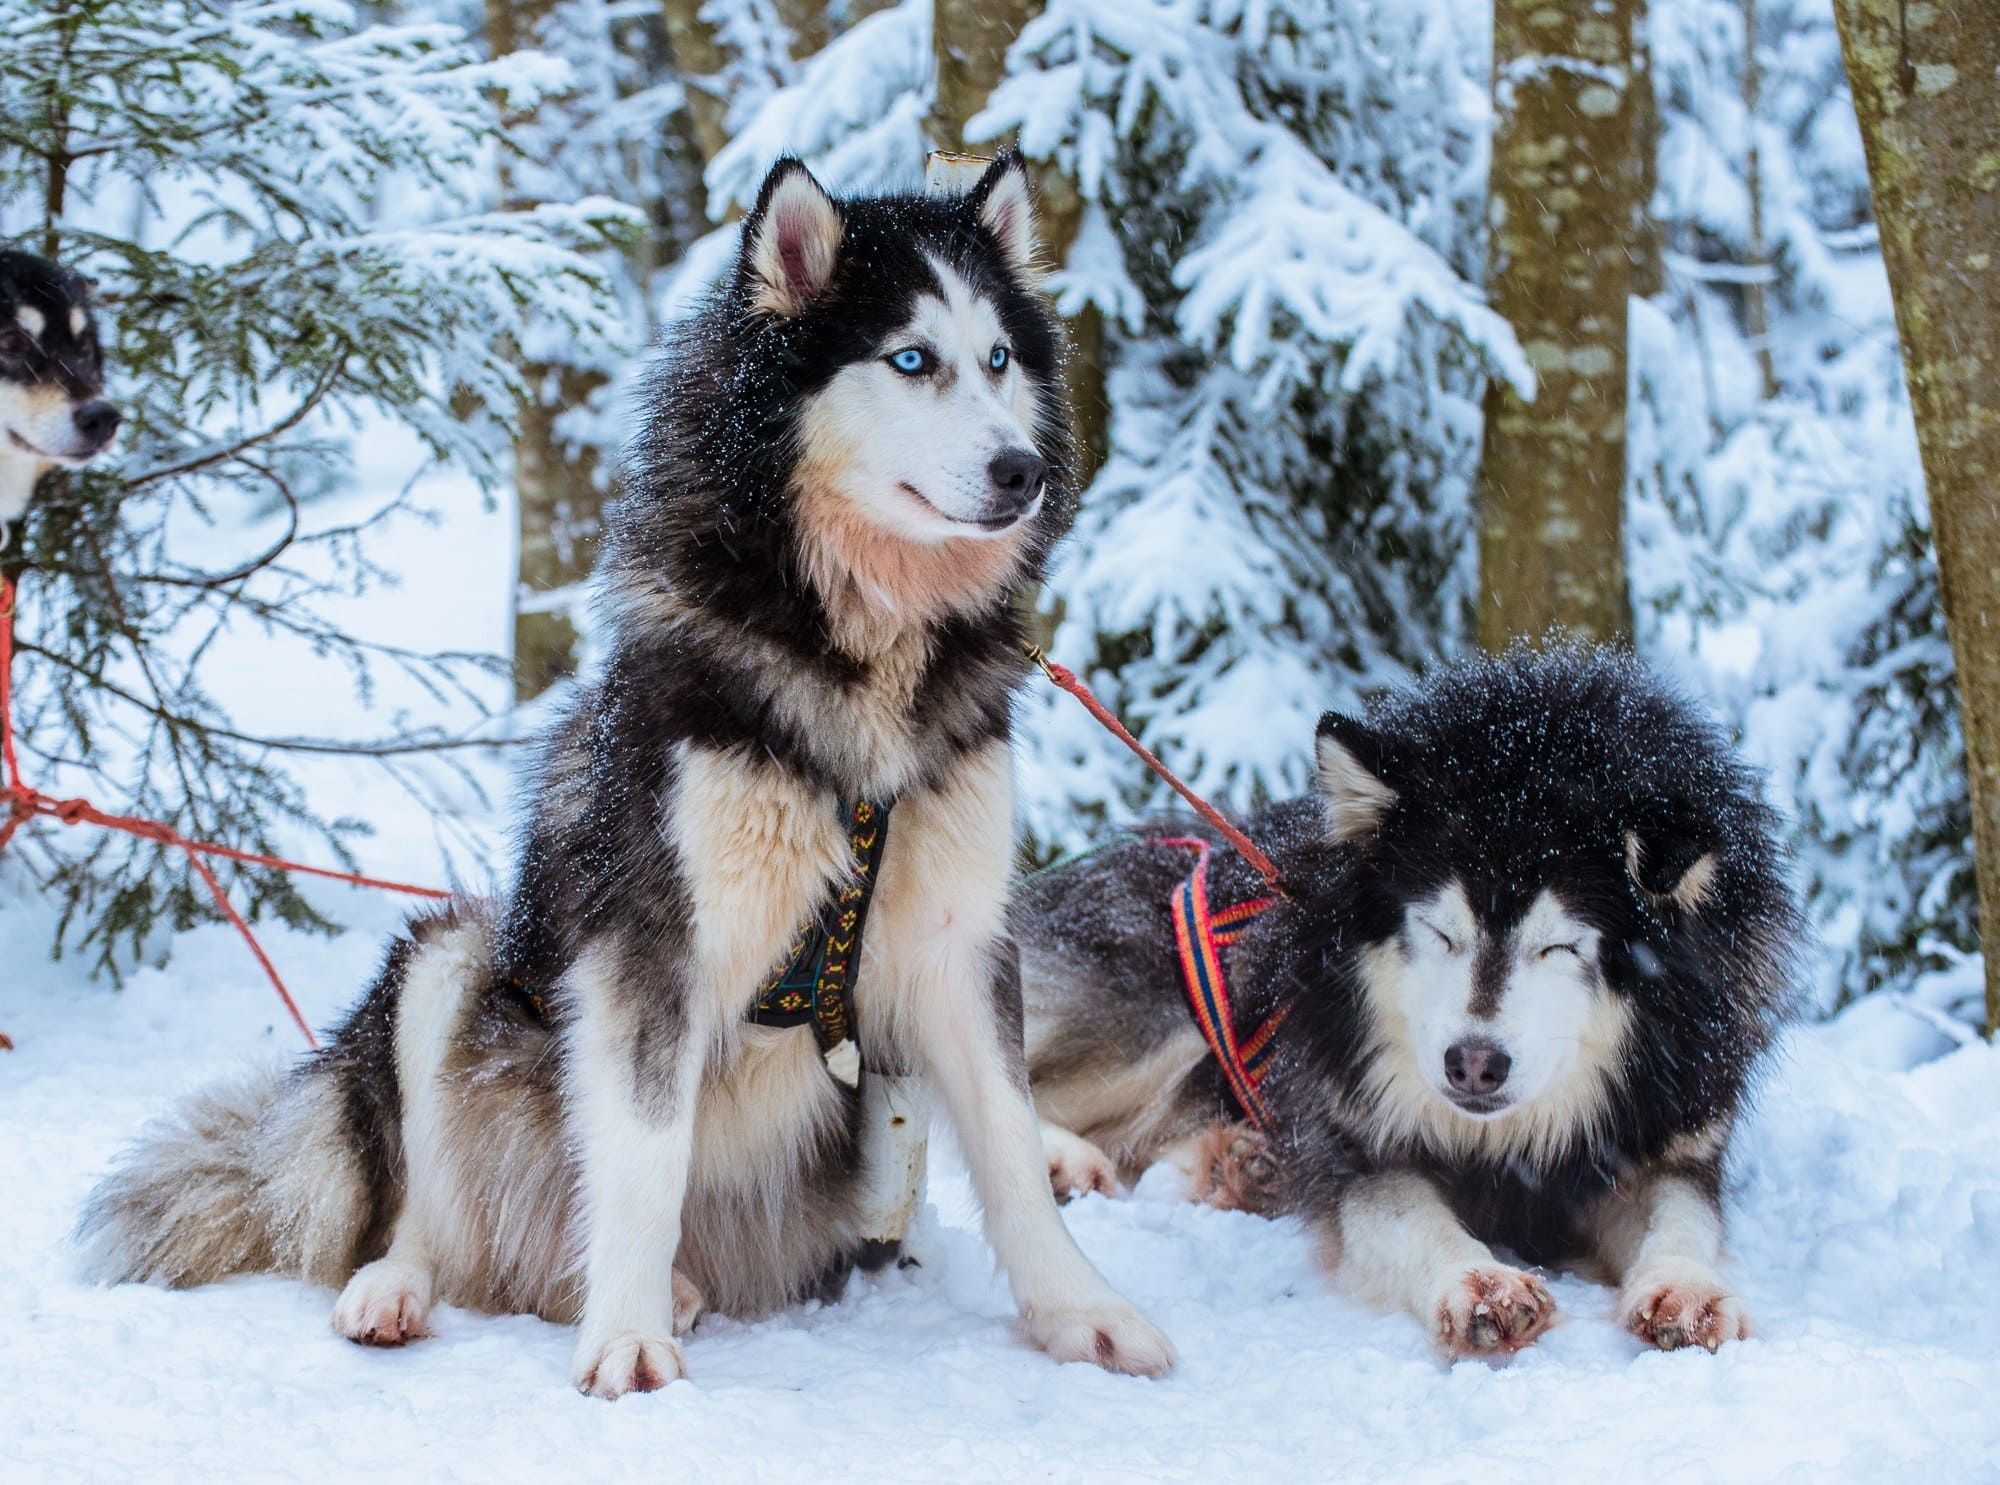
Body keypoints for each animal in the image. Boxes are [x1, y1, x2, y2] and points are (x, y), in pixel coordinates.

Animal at [1024, 652, 1808, 1360]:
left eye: (1560, 946)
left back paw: (1232, 1163)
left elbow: (1680, 1217)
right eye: (1439, 931)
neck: (1512, 1141)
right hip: (1156, 1014)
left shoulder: (1666, 1139)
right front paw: (1480, 1281)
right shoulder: (1361, 1142)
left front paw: (1687, 1288)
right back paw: (1069, 1161)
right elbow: (1412, 1216)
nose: (1474, 1064)